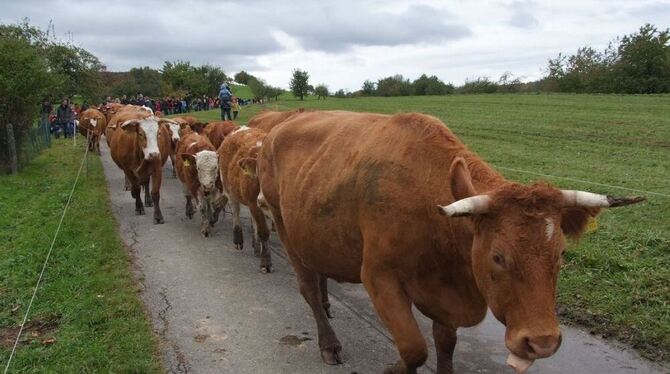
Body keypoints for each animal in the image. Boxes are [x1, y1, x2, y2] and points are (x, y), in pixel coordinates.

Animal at [220, 128, 272, 272]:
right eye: (260, 172)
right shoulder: (255, 203)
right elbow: (264, 232)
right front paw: (266, 263)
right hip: (230, 191)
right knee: (236, 213)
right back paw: (238, 240)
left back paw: (256, 246)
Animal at [258, 110, 644, 372]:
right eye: (498, 256)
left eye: (561, 253)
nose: (543, 342)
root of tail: (280, 126)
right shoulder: (379, 276)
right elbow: (414, 348)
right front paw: (392, 368)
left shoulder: (446, 296)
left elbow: (445, 344)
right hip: (283, 225)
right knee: (307, 286)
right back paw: (328, 342)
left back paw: (327, 305)